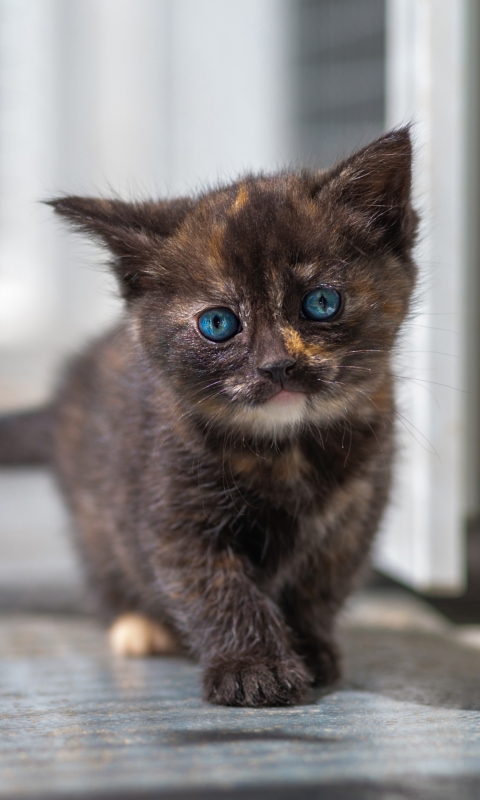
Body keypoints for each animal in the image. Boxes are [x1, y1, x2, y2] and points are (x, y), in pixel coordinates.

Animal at [0, 130, 416, 708]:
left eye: (321, 302)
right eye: (218, 324)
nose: (277, 365)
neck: (286, 451)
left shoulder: (356, 510)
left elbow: (321, 585)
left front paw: (310, 647)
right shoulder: (175, 511)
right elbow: (216, 589)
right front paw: (253, 667)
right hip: (95, 512)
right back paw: (138, 624)